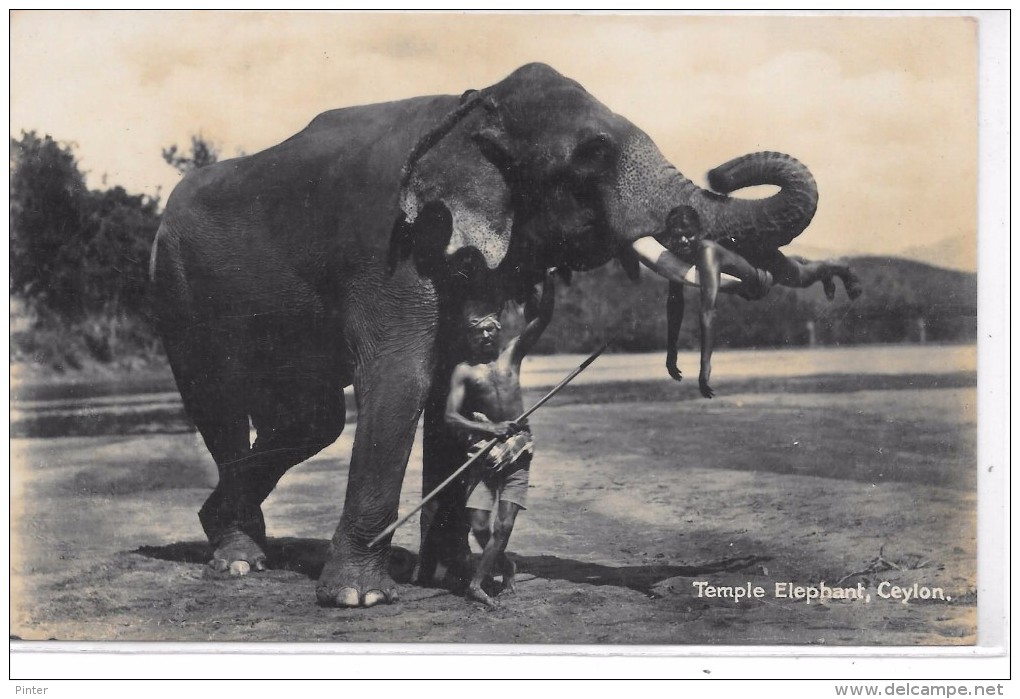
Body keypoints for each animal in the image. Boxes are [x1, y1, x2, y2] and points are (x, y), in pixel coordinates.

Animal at [148, 62, 820, 604]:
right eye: (594, 153)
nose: (721, 172)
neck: (470, 106)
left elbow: (445, 377)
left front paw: (446, 578)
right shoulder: (392, 245)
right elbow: (402, 377)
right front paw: (362, 598)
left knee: (311, 419)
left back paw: (244, 540)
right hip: (178, 294)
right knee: (225, 402)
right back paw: (238, 559)